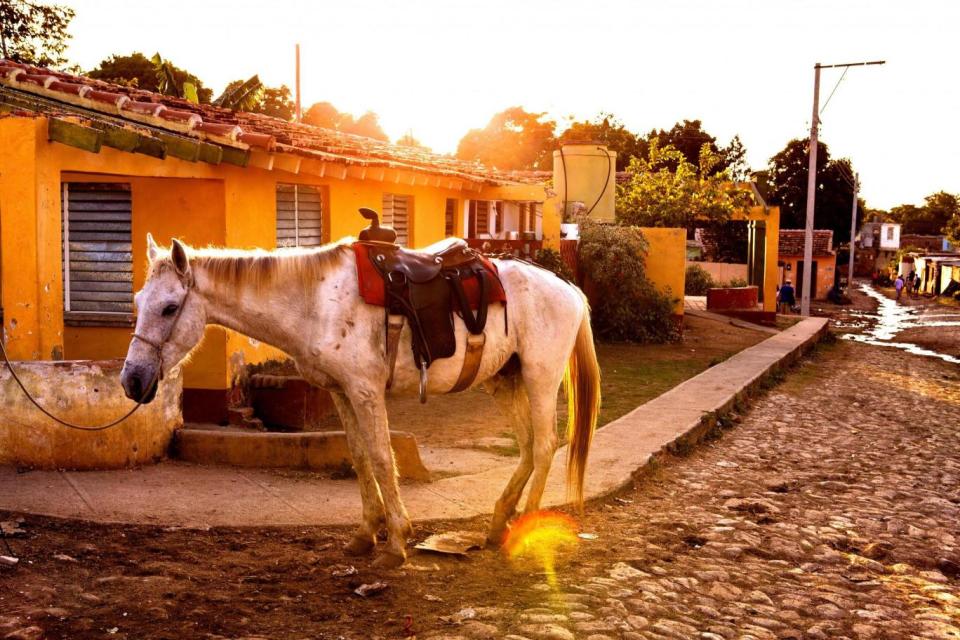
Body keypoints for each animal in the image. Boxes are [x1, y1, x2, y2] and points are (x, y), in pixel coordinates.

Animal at [122, 232, 600, 568]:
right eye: (139, 301)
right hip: (504, 380)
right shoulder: (341, 392)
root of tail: (569, 289)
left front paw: (396, 541)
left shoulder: (365, 390)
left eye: (169, 308)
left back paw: (526, 527)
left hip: (540, 377)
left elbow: (382, 457)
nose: (132, 380)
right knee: (527, 446)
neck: (316, 302)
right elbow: (358, 456)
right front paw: (366, 534)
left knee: (544, 445)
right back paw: (499, 522)